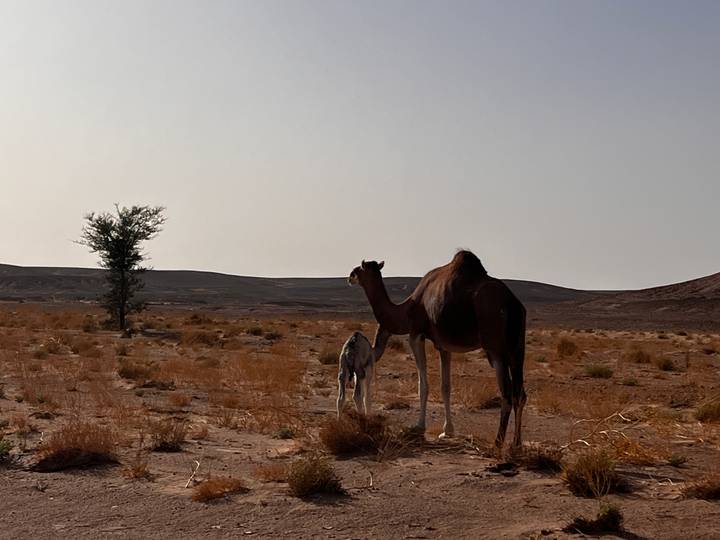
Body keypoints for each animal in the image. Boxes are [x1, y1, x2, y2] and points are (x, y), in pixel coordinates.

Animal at [348, 250, 527, 449]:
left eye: (359, 269)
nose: (349, 276)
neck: (407, 309)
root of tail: (512, 304)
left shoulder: (415, 335)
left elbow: (423, 385)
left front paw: (419, 427)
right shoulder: (443, 346)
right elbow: (445, 386)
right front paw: (447, 430)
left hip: (496, 349)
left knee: (507, 394)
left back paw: (497, 443)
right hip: (517, 349)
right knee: (520, 394)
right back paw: (516, 445)